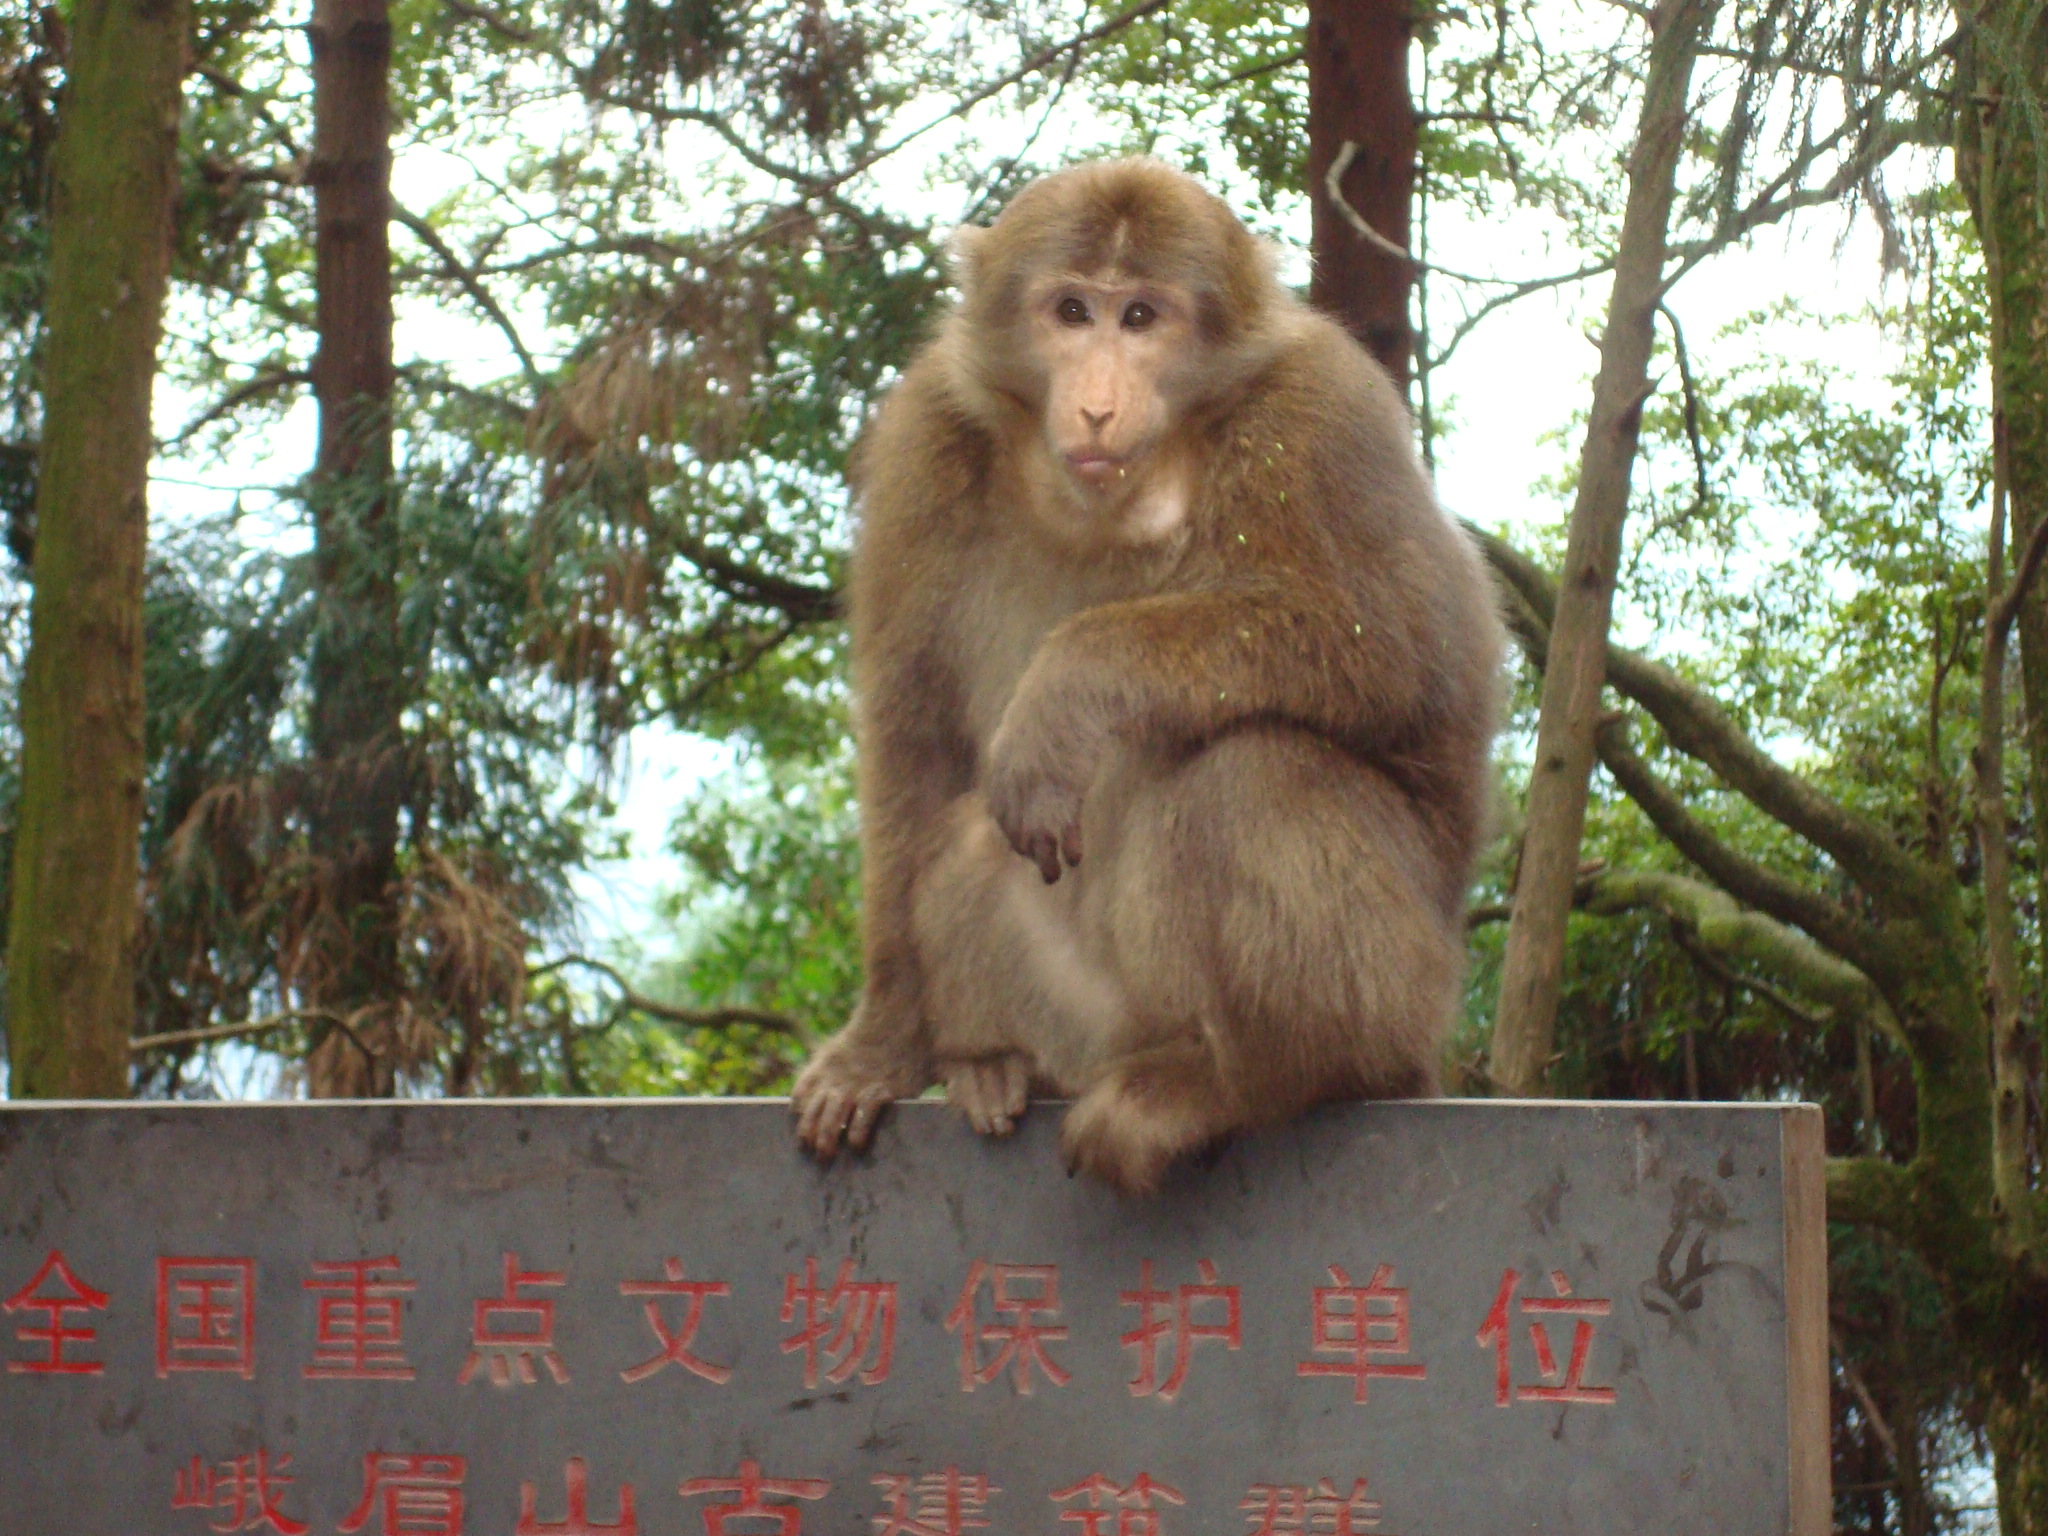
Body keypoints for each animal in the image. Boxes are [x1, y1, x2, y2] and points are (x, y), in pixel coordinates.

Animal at [782, 156, 1507, 1196]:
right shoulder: (927, 440)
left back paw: (1252, 1081)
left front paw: (1068, 687)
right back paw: (991, 1063)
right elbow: (910, 733)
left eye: (1140, 318)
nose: (1096, 399)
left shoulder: (1325, 419)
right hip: (1086, 1019)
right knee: (962, 842)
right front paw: (879, 1046)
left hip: (1404, 994)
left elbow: (1418, 654)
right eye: (1072, 310)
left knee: (1252, 773)